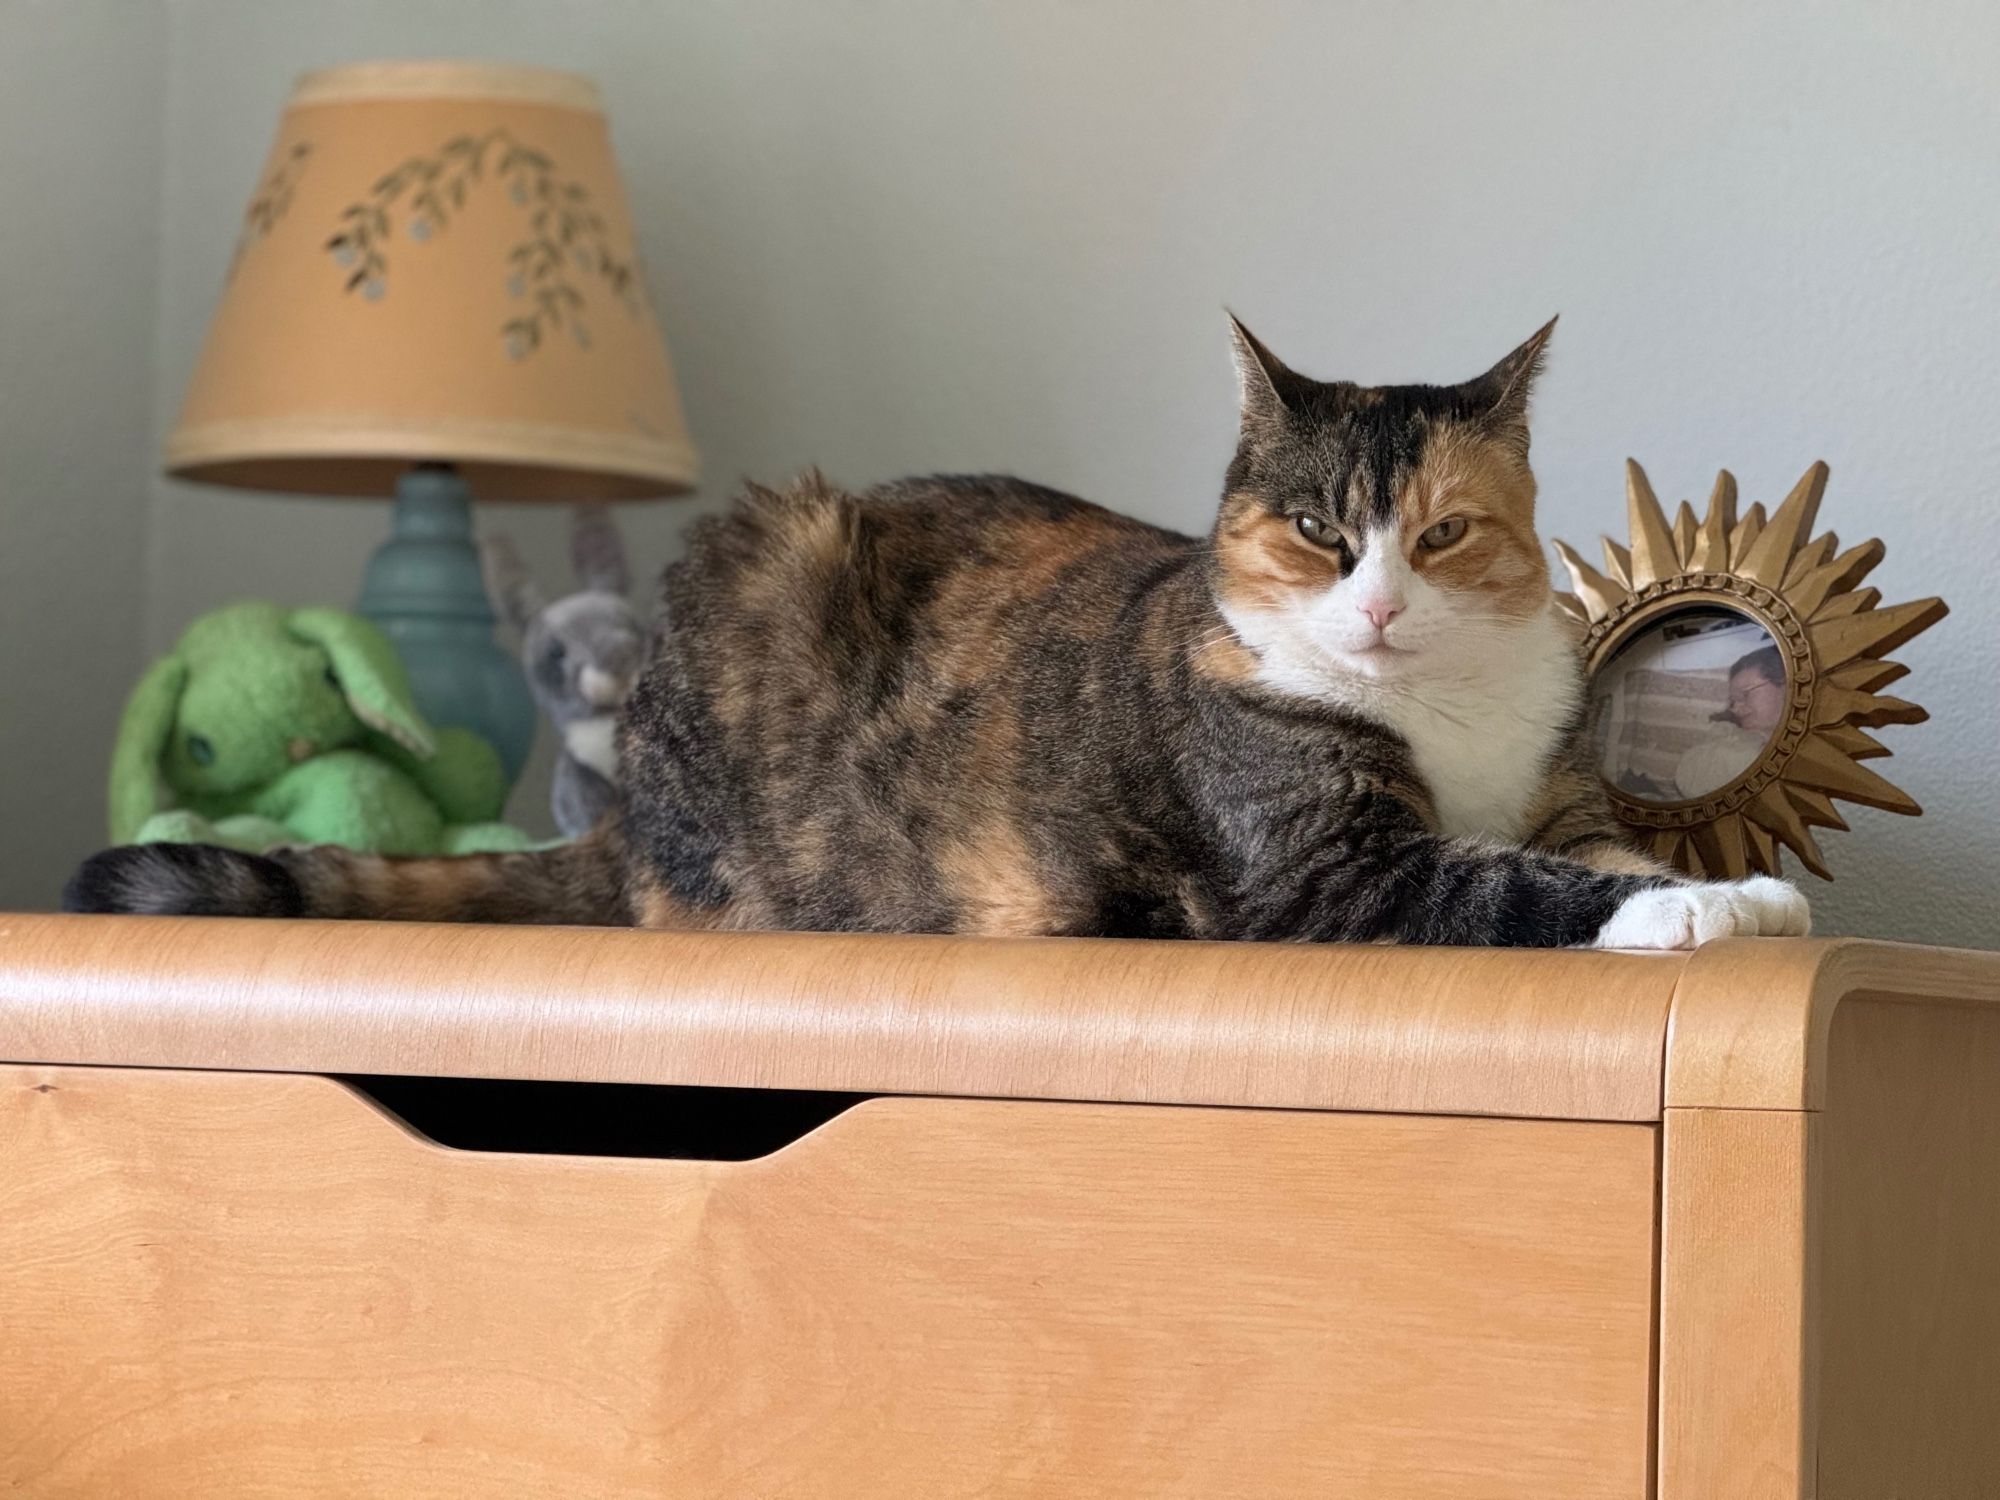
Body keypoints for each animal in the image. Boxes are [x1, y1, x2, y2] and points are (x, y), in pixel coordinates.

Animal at [66, 318, 1816, 952]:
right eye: (1318, 535)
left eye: (1441, 534)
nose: (1377, 604)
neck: (1444, 714)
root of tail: (628, 816)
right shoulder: (1321, 867)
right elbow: (1509, 881)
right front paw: (1699, 907)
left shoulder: (1546, 777)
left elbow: (1579, 835)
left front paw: (1717, 881)